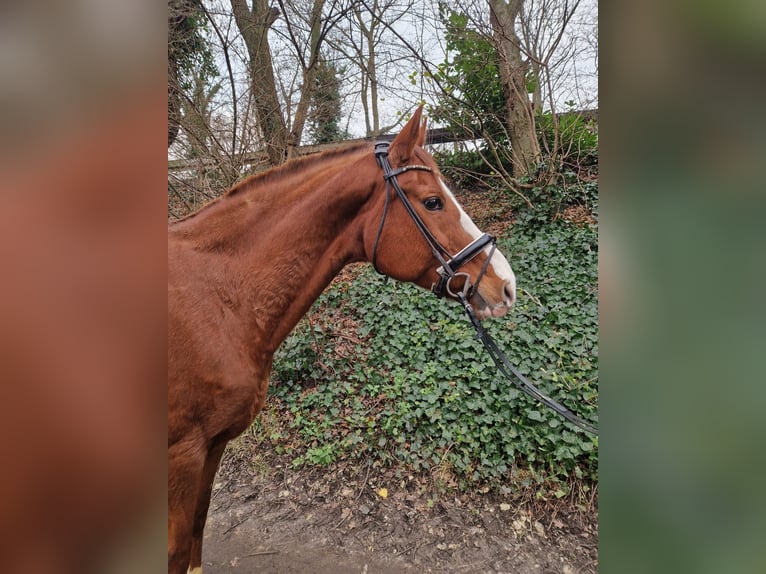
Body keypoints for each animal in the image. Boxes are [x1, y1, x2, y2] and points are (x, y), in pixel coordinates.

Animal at [168, 107, 516, 572]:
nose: (507, 286)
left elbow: (198, 527)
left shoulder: (214, 445)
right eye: (433, 201)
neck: (218, 296)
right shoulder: (182, 455)